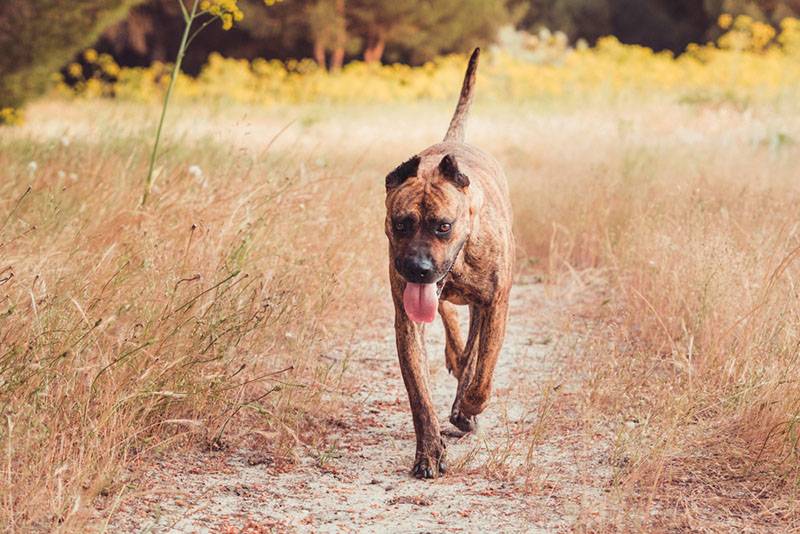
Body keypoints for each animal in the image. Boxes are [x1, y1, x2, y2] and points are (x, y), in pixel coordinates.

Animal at [386, 49, 512, 482]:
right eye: (401, 224)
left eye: (443, 226)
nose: (418, 268)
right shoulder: (407, 320)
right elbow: (419, 396)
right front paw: (428, 451)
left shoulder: (495, 304)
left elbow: (483, 375)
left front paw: (468, 408)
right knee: (453, 329)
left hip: (481, 304)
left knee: (472, 351)